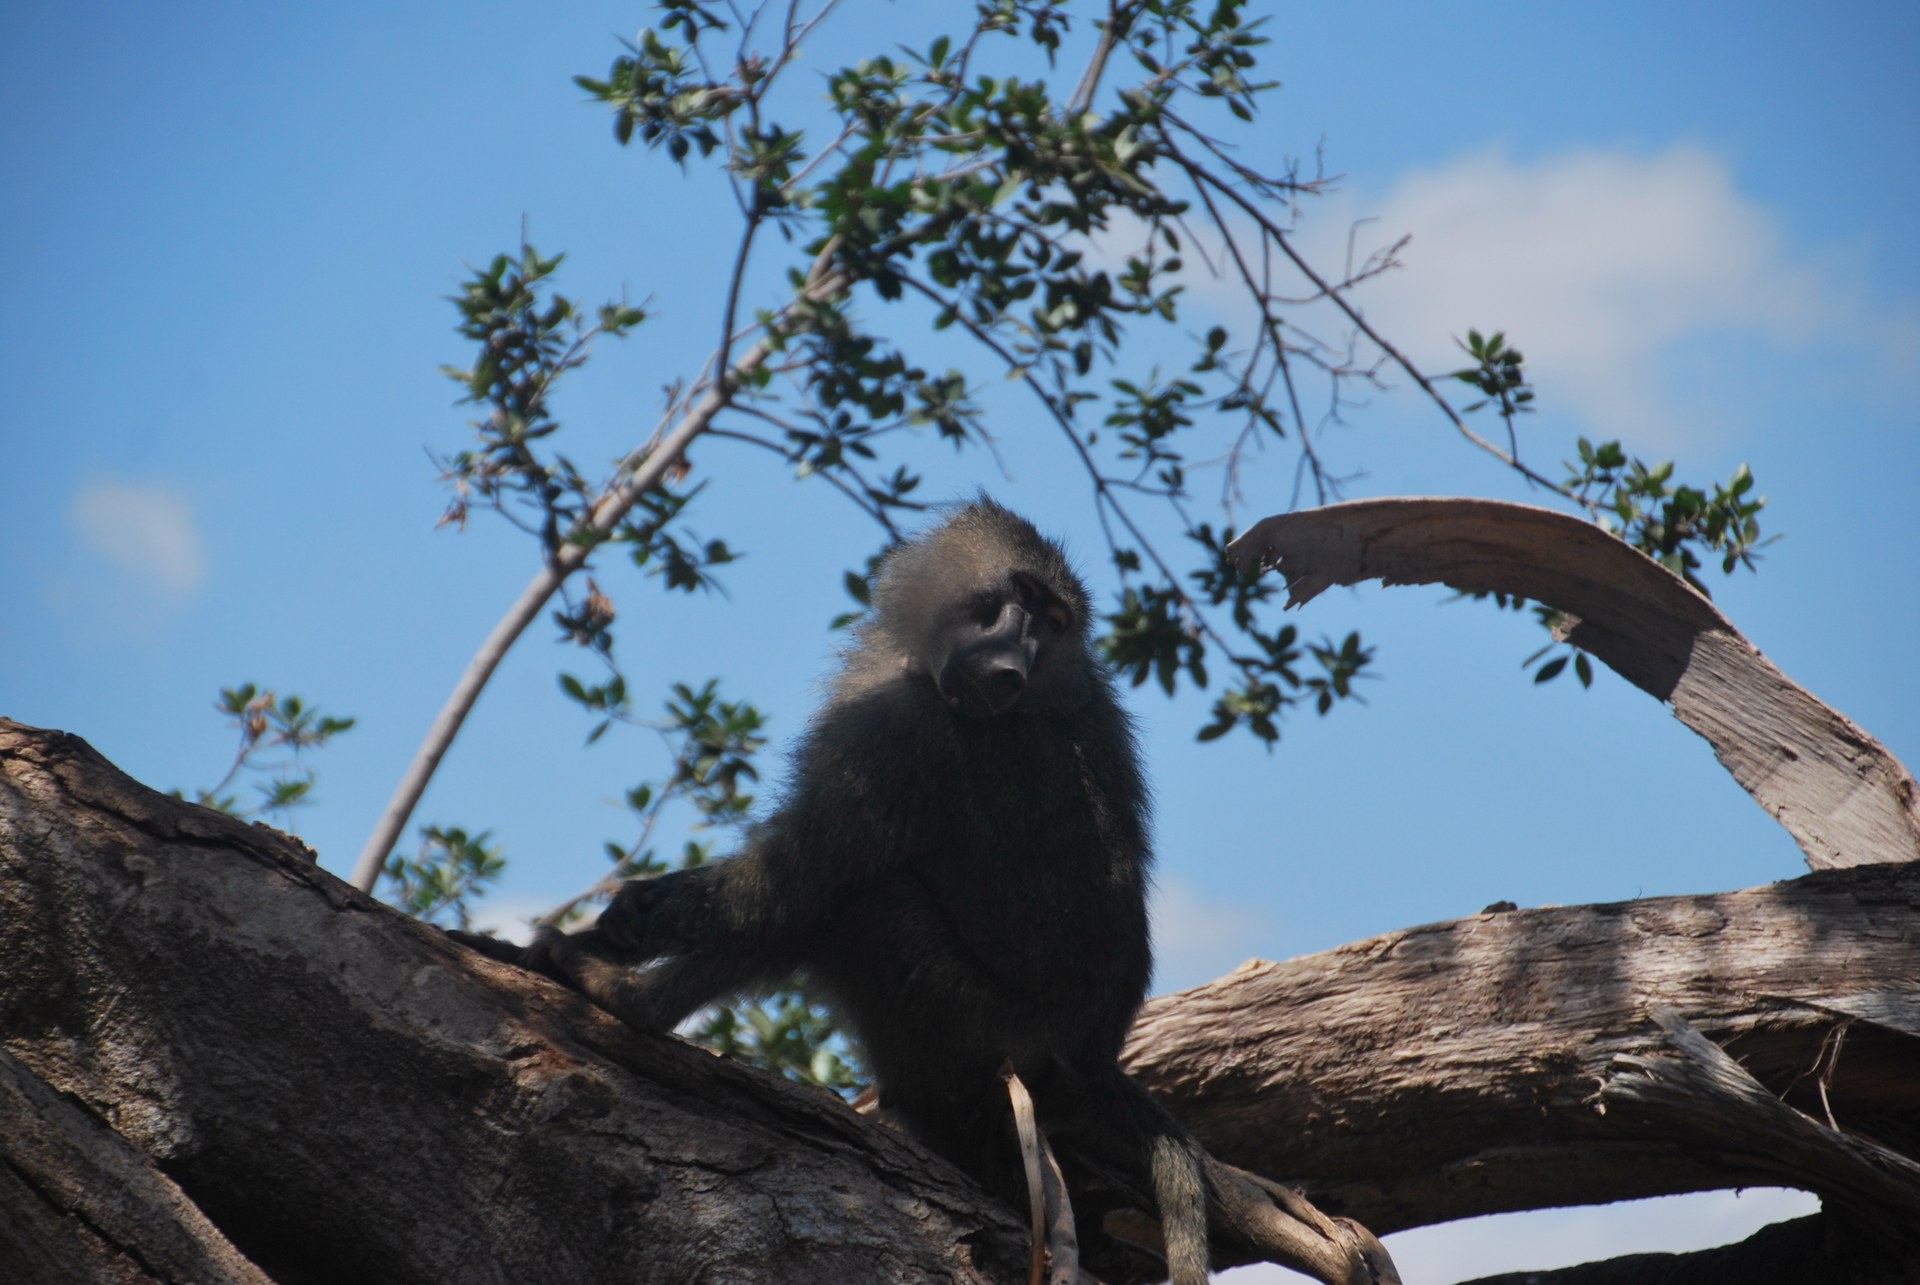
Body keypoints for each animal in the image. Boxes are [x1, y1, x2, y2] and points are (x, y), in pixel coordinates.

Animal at [457, 499, 1214, 1284]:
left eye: (1054, 621)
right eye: (1022, 601)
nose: (1012, 667)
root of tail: (1089, 1059)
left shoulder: (900, 726)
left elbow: (789, 880)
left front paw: (608, 932)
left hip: (977, 1031)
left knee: (848, 903)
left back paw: (628, 1001)